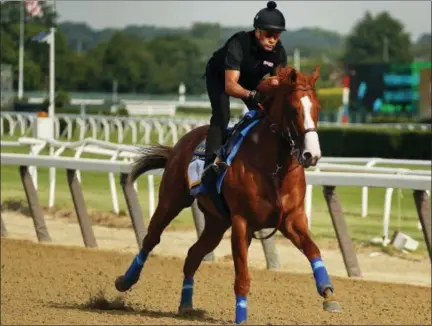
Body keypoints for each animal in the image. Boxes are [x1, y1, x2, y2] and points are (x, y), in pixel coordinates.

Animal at [114, 65, 340, 324]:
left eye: (318, 108)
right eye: (294, 109)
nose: (311, 155)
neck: (273, 168)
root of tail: (180, 144)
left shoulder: (291, 219)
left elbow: (313, 250)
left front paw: (328, 292)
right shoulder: (242, 222)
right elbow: (242, 276)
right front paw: (241, 316)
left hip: (216, 222)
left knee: (192, 255)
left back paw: (186, 305)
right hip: (172, 200)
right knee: (151, 239)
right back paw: (125, 280)